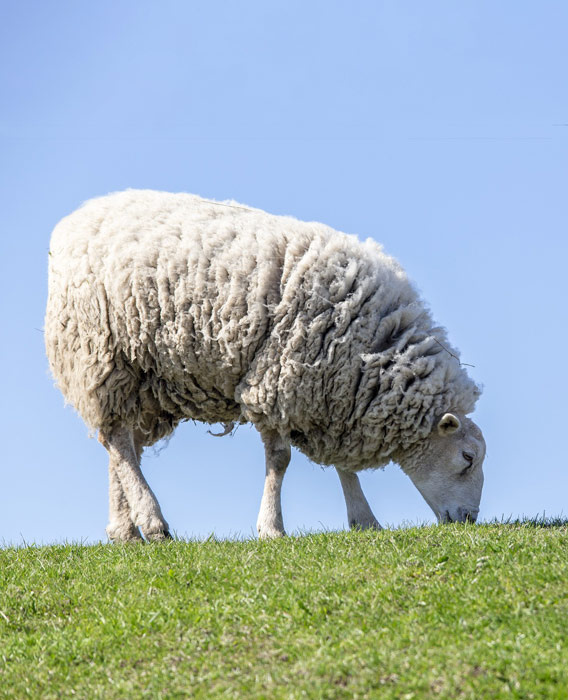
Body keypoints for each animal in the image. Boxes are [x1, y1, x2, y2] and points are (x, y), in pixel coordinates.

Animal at [45, 189, 486, 541]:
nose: (469, 520)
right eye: (467, 458)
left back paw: (124, 530)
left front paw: (364, 520)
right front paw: (272, 527)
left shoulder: (333, 397)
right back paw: (152, 523)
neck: (372, 347)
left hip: (145, 379)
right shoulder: (279, 381)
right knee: (118, 440)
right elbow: (280, 460)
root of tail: (76, 218)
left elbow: (343, 466)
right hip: (102, 353)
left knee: (122, 446)